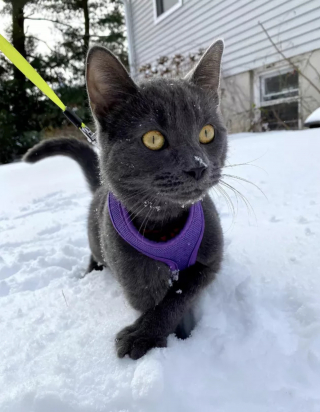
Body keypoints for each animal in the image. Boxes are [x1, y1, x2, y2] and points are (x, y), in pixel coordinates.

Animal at [23, 40, 228, 358]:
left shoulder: (209, 261)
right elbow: (154, 300)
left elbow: (181, 294)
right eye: (153, 139)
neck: (164, 225)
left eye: (207, 133)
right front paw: (154, 335)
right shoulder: (136, 277)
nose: (198, 166)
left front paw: (150, 334)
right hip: (98, 243)